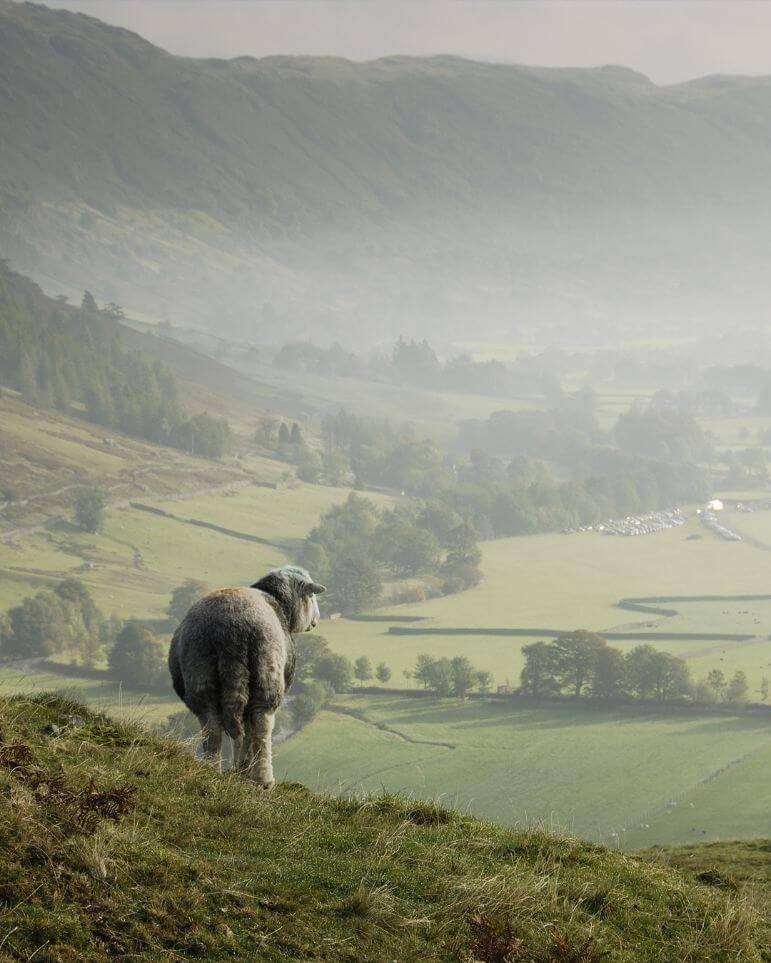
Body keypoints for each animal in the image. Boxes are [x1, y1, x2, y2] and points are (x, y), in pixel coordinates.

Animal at [168, 565, 325, 788]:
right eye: (311, 595)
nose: (316, 620)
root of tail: (229, 628)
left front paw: (240, 768)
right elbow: (251, 732)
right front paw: (244, 768)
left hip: (200, 672)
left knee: (212, 727)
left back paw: (212, 769)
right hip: (266, 672)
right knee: (261, 726)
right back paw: (263, 779)